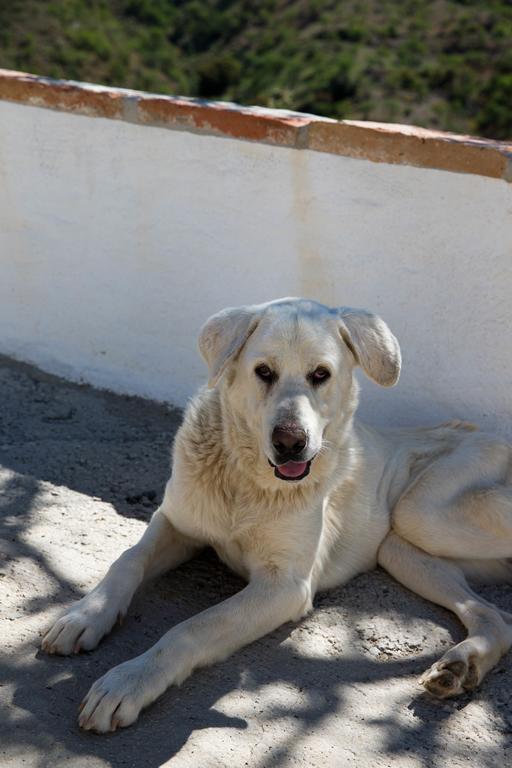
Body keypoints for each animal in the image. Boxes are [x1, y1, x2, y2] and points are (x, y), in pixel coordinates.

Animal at [41, 298, 512, 732]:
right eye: (263, 372)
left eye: (320, 374)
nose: (290, 443)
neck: (245, 480)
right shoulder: (176, 523)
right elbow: (127, 560)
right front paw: (84, 615)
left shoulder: (285, 586)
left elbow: (192, 627)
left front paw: (129, 681)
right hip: (402, 549)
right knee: (494, 616)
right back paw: (459, 668)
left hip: (419, 512)